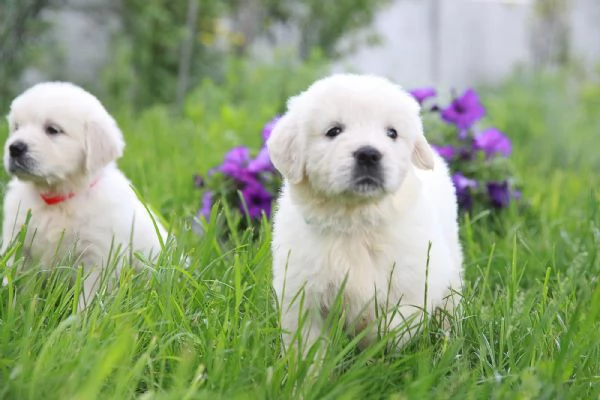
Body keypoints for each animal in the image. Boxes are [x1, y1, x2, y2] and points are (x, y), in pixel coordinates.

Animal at [2, 81, 166, 310]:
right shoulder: (17, 237)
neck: (57, 198)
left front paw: (79, 319)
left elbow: (87, 298)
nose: (14, 147)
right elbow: (11, 273)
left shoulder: (98, 257)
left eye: (53, 130)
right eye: (16, 127)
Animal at [268, 73, 464, 354]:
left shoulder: (419, 282)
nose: (369, 154)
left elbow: (393, 326)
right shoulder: (302, 292)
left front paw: (366, 336)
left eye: (392, 133)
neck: (355, 220)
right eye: (334, 131)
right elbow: (307, 345)